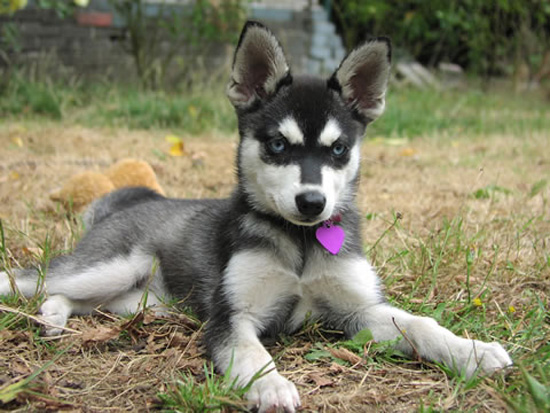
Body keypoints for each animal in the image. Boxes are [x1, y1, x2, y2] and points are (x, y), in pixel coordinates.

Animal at [1, 22, 516, 412]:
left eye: (339, 149)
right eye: (278, 144)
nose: (312, 203)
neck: (301, 244)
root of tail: (128, 205)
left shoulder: (359, 310)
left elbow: (420, 324)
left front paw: (472, 351)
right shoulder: (233, 315)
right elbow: (251, 353)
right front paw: (270, 386)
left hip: (134, 300)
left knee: (66, 296)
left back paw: (54, 318)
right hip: (109, 267)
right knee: (34, 278)